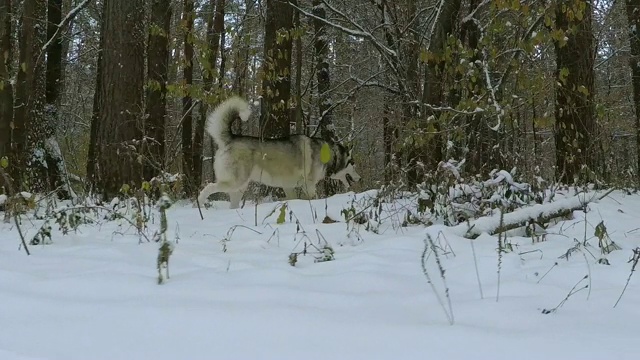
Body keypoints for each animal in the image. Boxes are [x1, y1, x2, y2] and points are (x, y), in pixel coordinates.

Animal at [196, 96, 360, 208]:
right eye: (353, 163)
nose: (359, 178)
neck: (330, 155)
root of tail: (230, 138)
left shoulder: (288, 186)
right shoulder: (309, 186)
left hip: (239, 188)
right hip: (235, 181)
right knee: (208, 188)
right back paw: (200, 203)